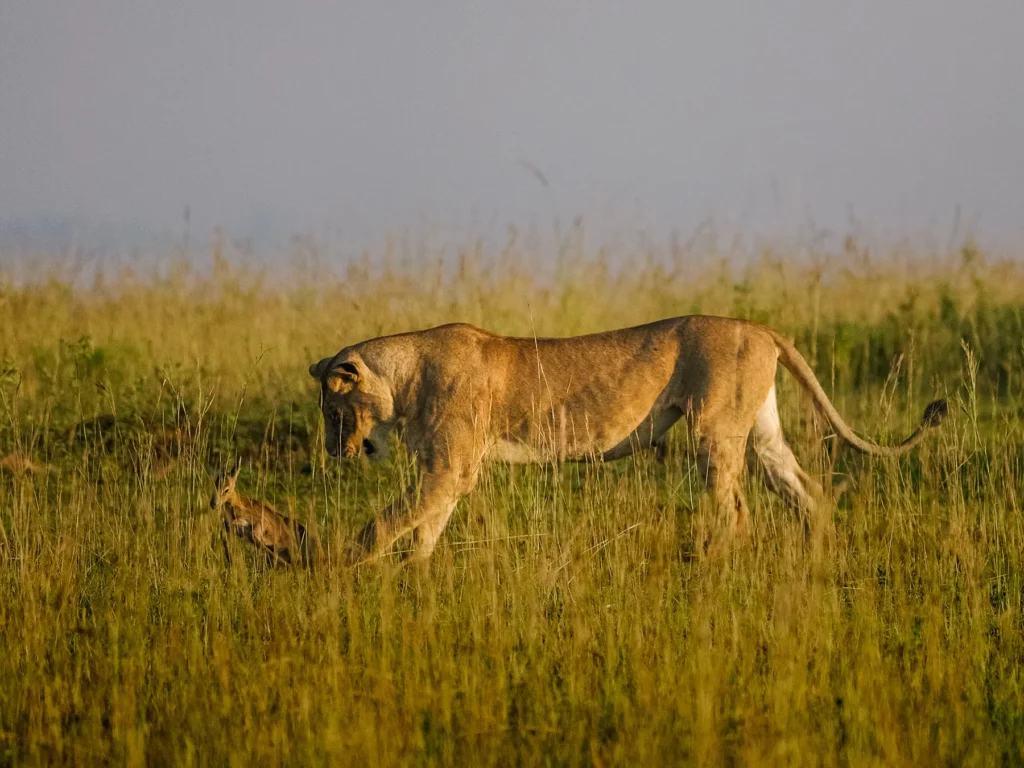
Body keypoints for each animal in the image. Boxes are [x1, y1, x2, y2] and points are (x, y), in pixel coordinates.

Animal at [309, 316, 946, 564]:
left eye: (334, 412)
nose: (334, 452)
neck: (404, 380)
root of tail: (759, 326)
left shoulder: (450, 467)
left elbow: (386, 523)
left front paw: (343, 569)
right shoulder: (448, 473)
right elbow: (424, 530)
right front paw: (414, 578)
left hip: (712, 429)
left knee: (735, 510)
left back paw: (710, 568)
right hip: (761, 432)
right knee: (806, 490)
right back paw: (817, 559)